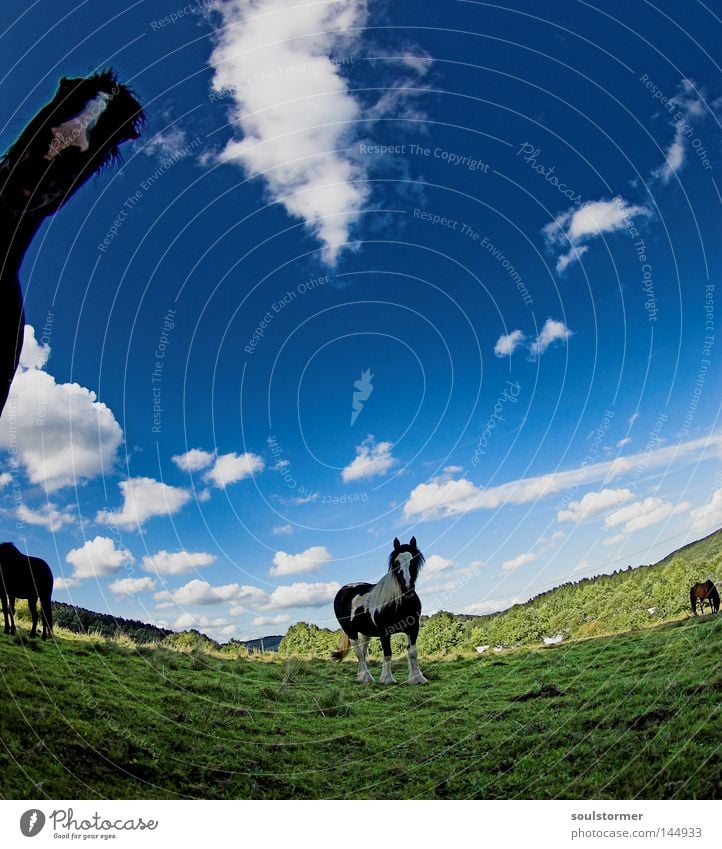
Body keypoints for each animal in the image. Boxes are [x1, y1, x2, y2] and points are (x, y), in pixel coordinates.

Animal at [334, 536, 428, 684]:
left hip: (365, 632)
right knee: (359, 653)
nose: (407, 589)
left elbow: (413, 652)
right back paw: (367, 677)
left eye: (414, 560)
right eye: (396, 563)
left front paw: (417, 678)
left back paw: (361, 677)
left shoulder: (413, 628)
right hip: (351, 631)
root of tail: (344, 589)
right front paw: (387, 679)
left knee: (363, 651)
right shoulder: (385, 632)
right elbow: (388, 653)